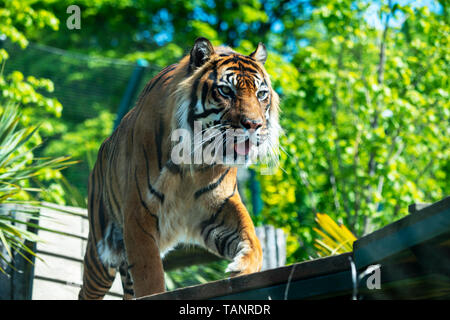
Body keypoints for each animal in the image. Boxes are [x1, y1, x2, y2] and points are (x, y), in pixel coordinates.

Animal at [79, 37, 280, 300]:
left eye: (261, 94)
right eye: (226, 91)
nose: (254, 125)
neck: (196, 159)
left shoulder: (221, 204)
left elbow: (252, 236)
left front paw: (242, 267)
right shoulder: (138, 215)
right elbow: (150, 274)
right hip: (101, 253)